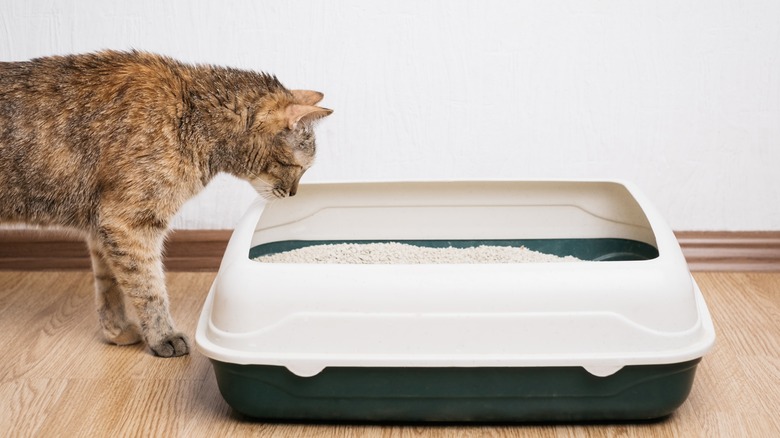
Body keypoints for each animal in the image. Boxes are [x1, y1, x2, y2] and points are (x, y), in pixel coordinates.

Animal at [0, 50, 332, 356]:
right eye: (298, 167)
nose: (294, 193)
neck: (193, 115)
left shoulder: (101, 226)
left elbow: (109, 286)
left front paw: (117, 331)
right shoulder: (128, 223)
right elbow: (149, 286)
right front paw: (163, 336)